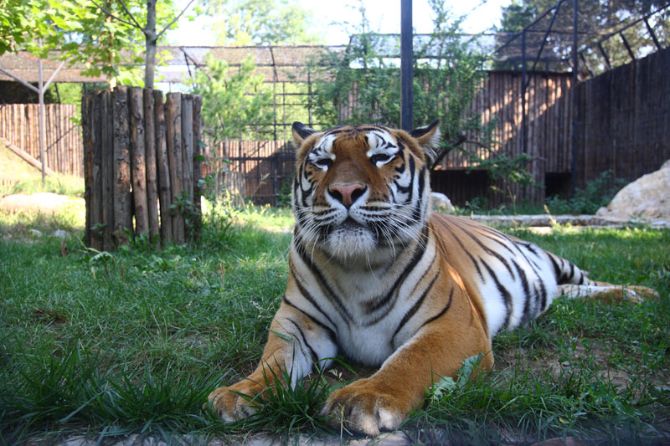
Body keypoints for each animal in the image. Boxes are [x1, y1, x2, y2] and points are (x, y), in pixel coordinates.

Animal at [207, 121, 660, 436]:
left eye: (380, 158)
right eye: (322, 162)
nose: (346, 191)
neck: (358, 268)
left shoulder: (454, 326)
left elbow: (410, 360)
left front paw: (364, 399)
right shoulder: (297, 324)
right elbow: (273, 362)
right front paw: (238, 394)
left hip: (550, 257)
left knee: (588, 280)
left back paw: (641, 294)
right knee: (568, 294)